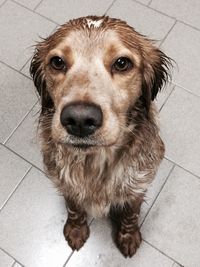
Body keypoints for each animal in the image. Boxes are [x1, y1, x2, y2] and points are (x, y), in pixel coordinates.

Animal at [29, 15, 170, 258]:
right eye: (57, 62)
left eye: (122, 63)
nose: (79, 120)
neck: (94, 163)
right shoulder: (66, 184)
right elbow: (74, 209)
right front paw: (76, 230)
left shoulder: (137, 186)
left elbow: (131, 214)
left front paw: (128, 236)